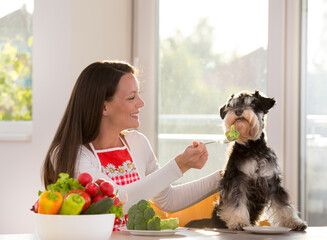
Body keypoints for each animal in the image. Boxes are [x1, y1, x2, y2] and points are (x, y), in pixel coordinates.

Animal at [187, 91, 308, 232]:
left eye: (253, 103)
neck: (252, 147)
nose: (238, 111)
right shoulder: (238, 179)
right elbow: (237, 202)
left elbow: (283, 205)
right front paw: (238, 222)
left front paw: (294, 222)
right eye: (231, 105)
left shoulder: (272, 181)